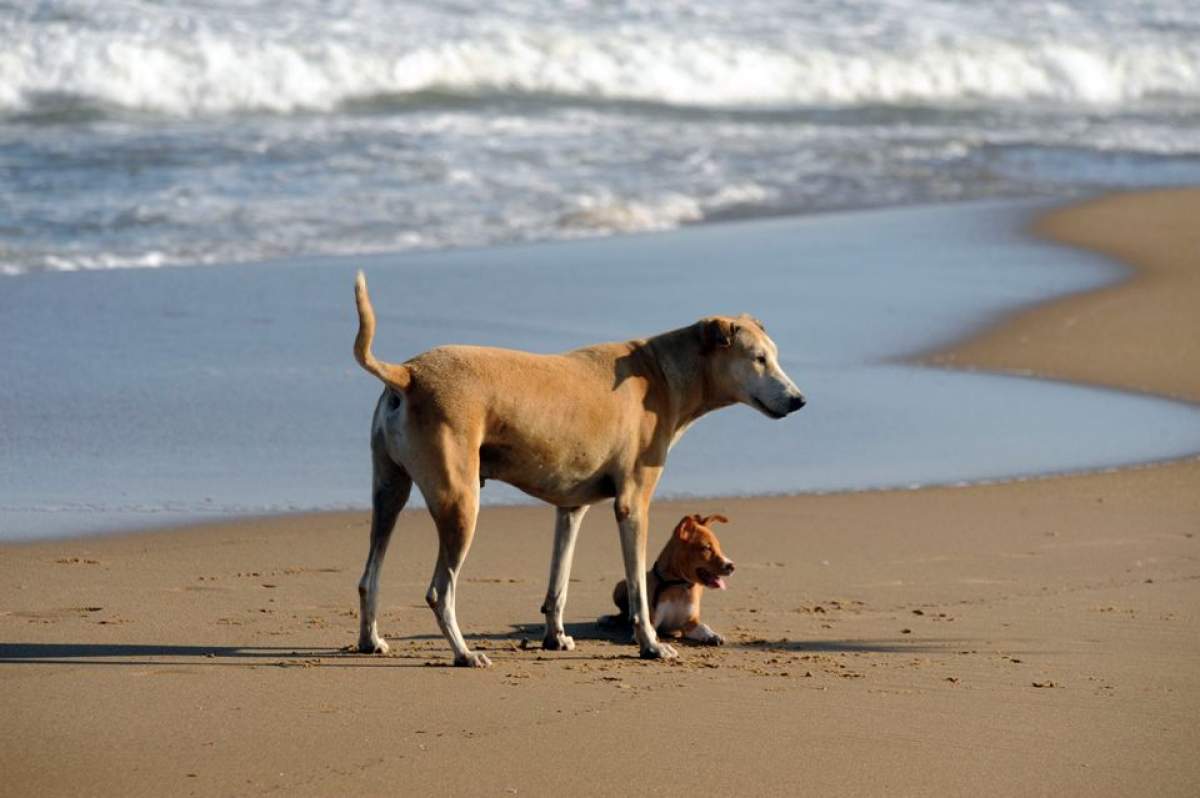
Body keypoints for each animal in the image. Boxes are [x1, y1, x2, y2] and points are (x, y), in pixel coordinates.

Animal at [609, 513, 729, 643]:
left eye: (719, 548)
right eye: (706, 548)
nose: (731, 566)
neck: (679, 585)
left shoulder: (690, 623)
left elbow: (704, 627)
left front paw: (713, 635)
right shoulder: (653, 618)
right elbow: (649, 629)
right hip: (620, 588)